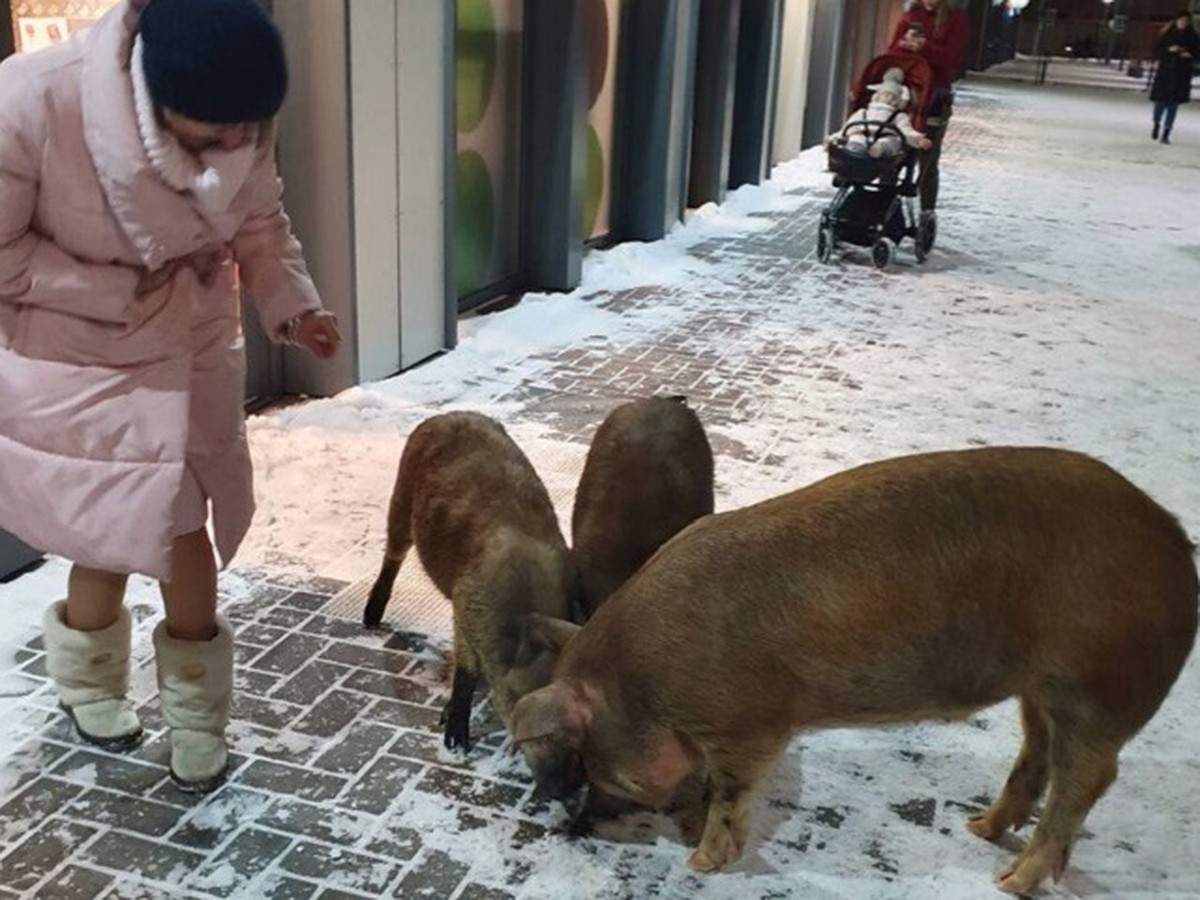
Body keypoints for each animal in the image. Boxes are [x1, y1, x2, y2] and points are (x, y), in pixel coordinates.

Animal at [362, 415, 578, 753]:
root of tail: (448, 415)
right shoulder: (467, 607)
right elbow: (466, 671)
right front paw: (454, 741)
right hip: (400, 498)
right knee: (393, 556)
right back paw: (370, 618)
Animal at [511, 448, 1195, 897]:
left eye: (593, 758)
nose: (581, 817)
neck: (645, 681)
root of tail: (1176, 541)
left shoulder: (750, 722)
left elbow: (731, 795)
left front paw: (701, 864)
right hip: (1041, 688)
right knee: (1039, 754)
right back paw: (977, 828)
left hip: (1098, 685)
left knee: (1088, 780)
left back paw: (1008, 880)